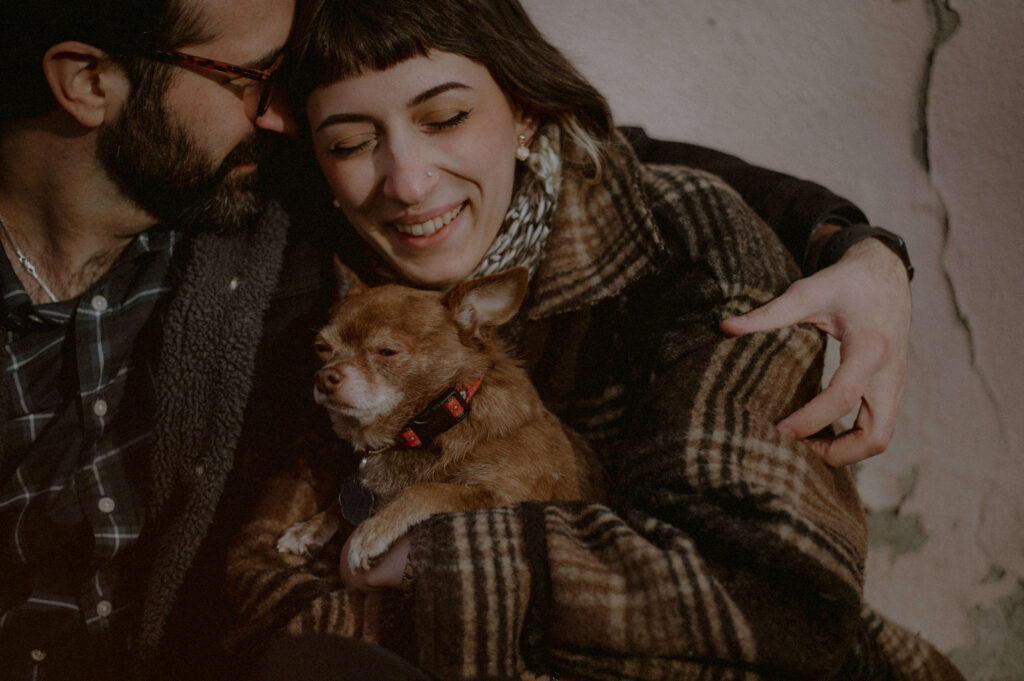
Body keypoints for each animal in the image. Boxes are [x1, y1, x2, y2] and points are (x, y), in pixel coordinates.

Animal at [276, 258, 602, 569]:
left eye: (387, 351)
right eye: (321, 348)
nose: (324, 377)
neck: (437, 420)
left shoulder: (512, 496)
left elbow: (429, 490)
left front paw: (372, 531)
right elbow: (341, 503)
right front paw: (310, 528)